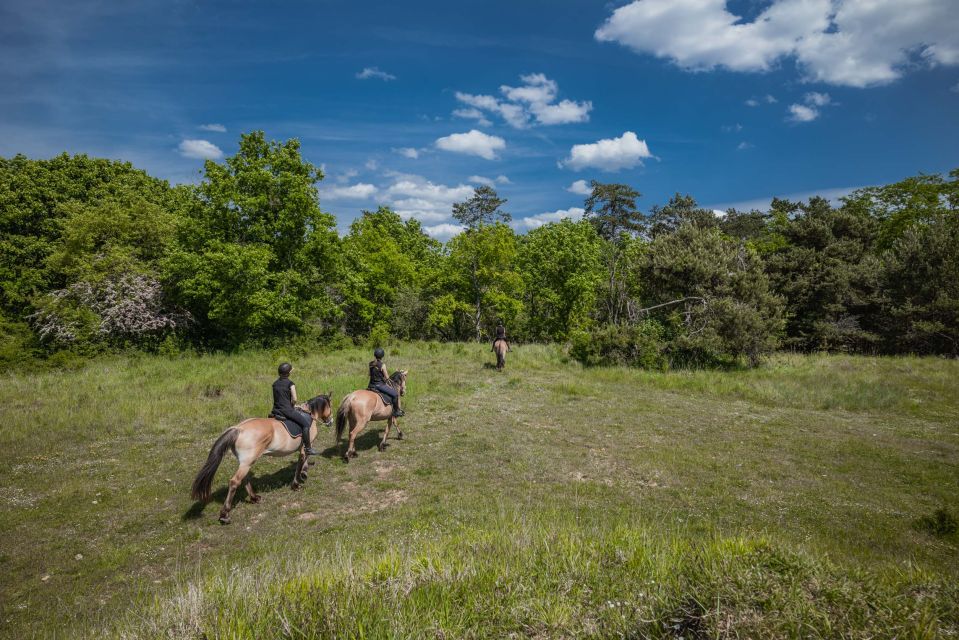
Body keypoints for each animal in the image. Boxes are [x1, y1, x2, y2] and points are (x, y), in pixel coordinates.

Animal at [190, 392, 334, 524]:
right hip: (247, 462)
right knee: (234, 481)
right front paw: (297, 483)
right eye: (330, 406)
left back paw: (254, 498)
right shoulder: (306, 446)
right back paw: (225, 515)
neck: (309, 414)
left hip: (246, 462)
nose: (330, 421)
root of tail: (239, 429)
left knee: (244, 478)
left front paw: (303, 474)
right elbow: (302, 461)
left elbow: (303, 461)